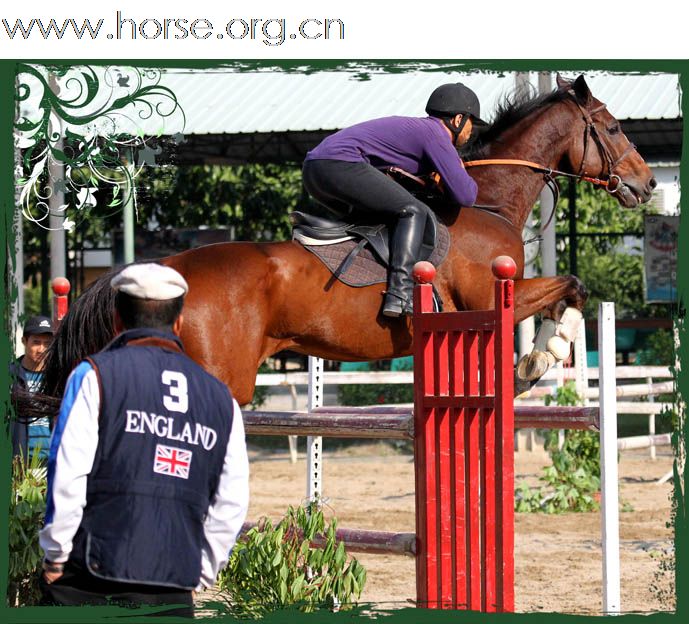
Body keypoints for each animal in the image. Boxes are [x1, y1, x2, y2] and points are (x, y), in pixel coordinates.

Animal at [37, 75, 656, 408]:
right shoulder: (489, 299)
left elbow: (569, 289)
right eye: (613, 126)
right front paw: (537, 361)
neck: (488, 199)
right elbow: (570, 285)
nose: (649, 183)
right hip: (218, 375)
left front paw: (538, 357)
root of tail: (164, 268)